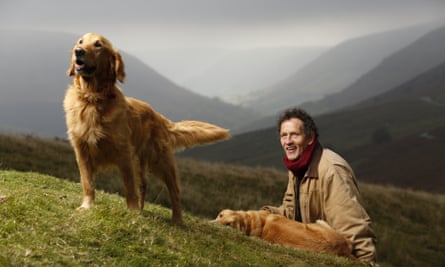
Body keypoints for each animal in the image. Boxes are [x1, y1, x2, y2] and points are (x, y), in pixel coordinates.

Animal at [63, 32, 229, 223]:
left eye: (98, 45)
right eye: (80, 41)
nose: (78, 51)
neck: (92, 98)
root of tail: (159, 117)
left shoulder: (124, 153)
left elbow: (129, 187)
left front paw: (132, 210)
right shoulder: (82, 150)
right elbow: (87, 182)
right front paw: (87, 206)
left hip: (161, 162)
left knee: (174, 191)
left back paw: (177, 219)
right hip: (141, 163)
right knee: (143, 185)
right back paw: (142, 209)